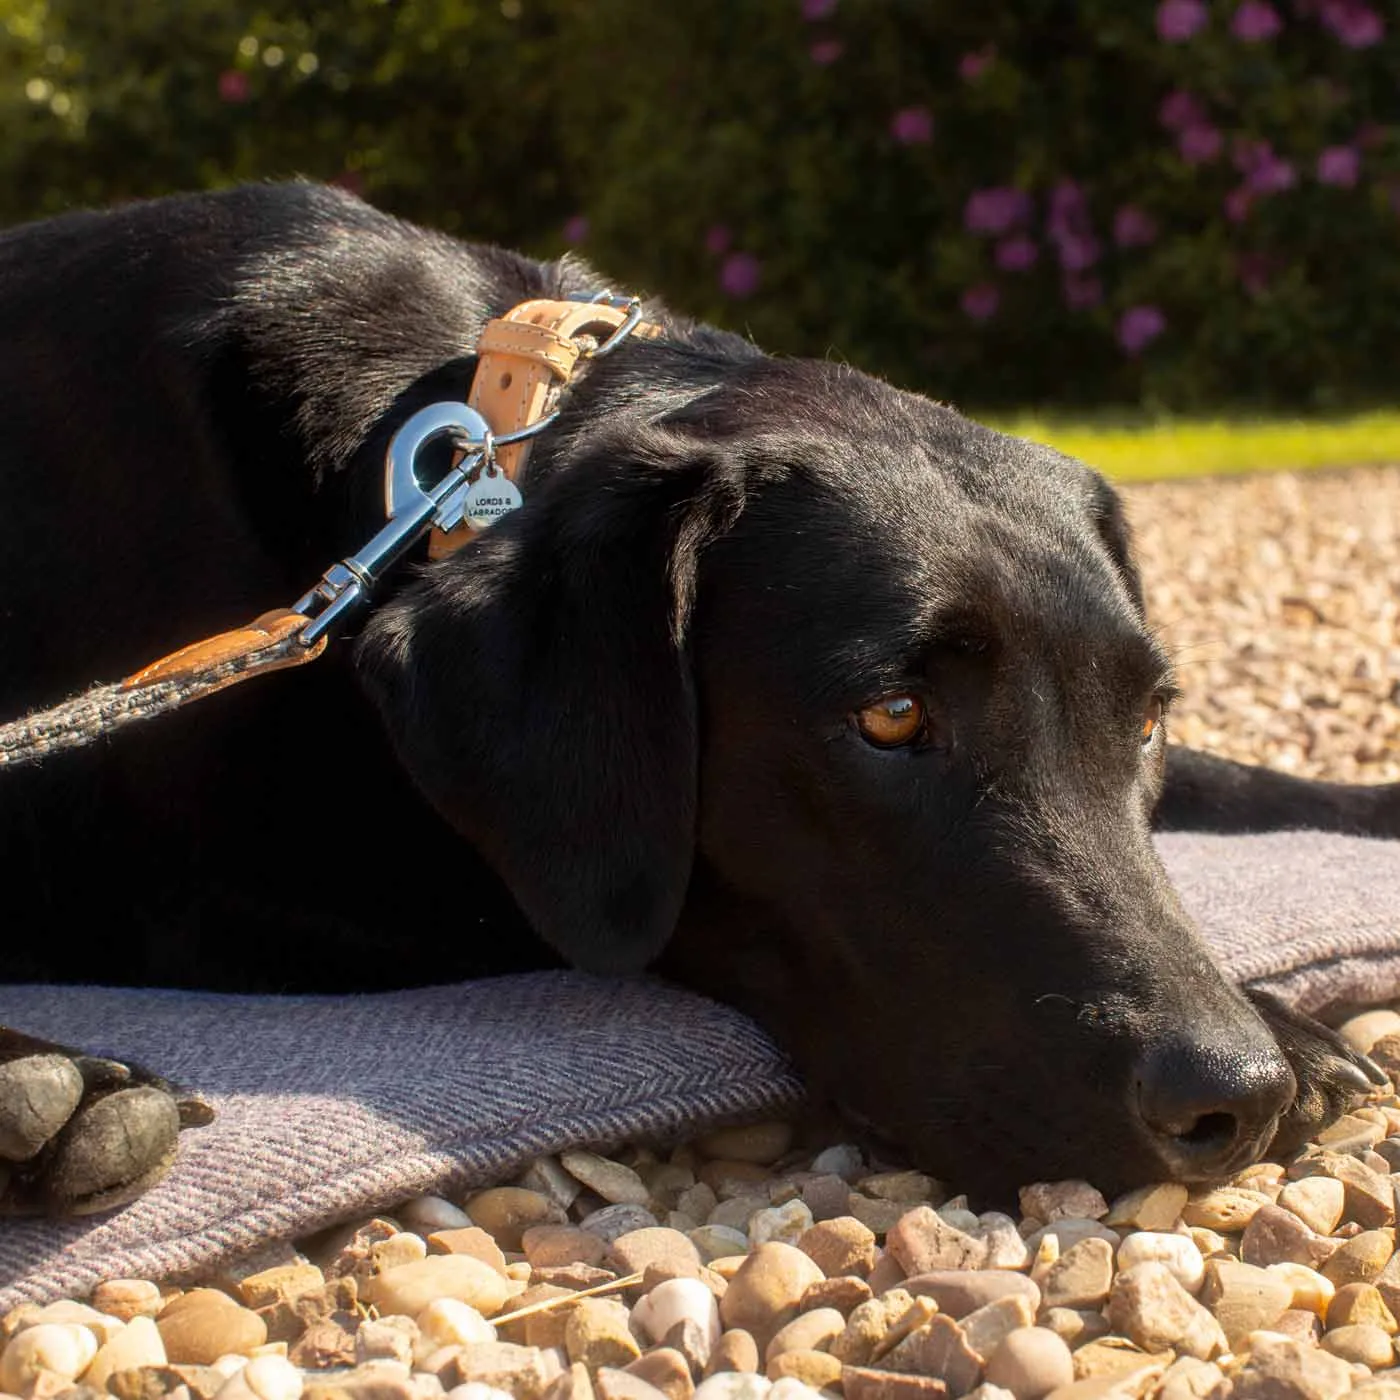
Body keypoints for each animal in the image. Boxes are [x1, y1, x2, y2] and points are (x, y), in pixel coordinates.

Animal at [0, 183, 1394, 1215]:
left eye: (1143, 719)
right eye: (889, 718)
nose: (1232, 1092)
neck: (444, 461)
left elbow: (1249, 779)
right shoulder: (193, 895)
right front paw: (1293, 1028)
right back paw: (57, 1095)